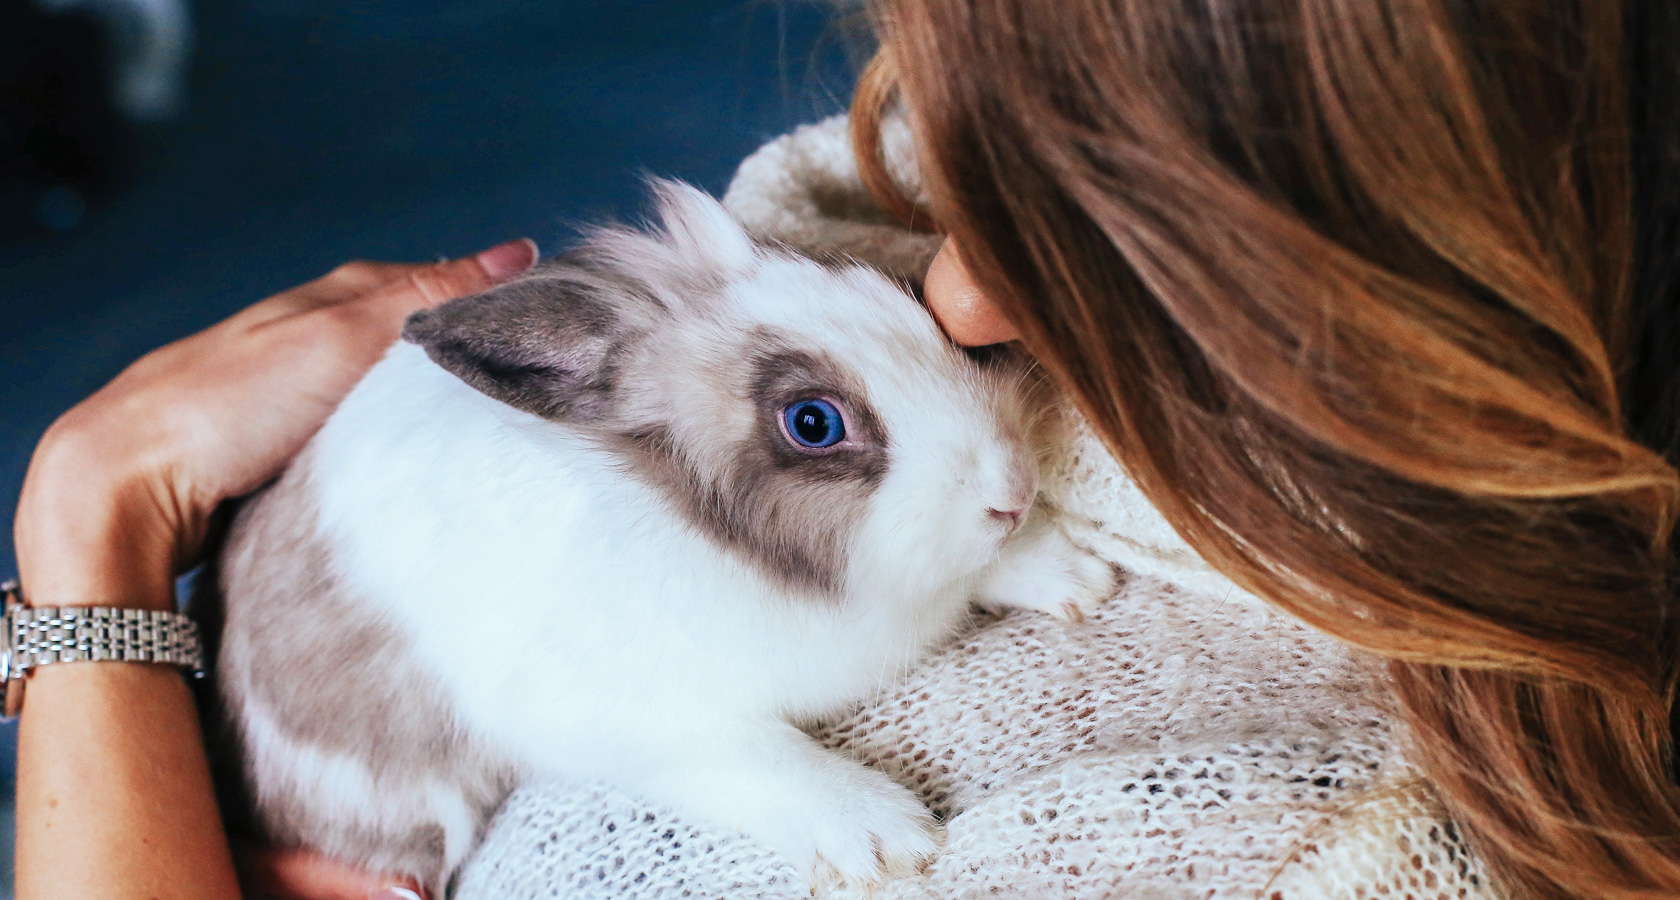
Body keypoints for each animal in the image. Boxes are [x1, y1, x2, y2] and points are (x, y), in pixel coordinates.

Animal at [216, 181, 1122, 893]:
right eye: (813, 423)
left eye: (905, 294)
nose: (1012, 492)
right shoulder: (635, 721)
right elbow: (762, 759)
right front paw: (884, 838)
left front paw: (1072, 575)